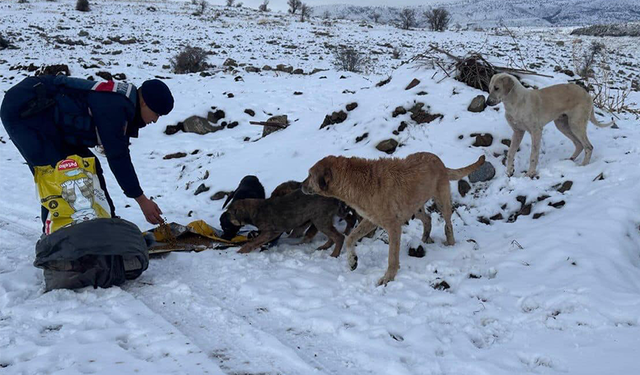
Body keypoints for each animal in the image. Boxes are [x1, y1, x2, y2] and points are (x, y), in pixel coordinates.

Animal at [302, 152, 482, 284]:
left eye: (309, 175)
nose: (301, 186)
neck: (356, 182)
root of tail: (439, 161)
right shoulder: (371, 220)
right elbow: (350, 238)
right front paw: (352, 261)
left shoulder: (393, 226)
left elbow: (392, 257)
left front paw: (388, 278)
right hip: (415, 207)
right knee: (428, 219)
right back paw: (425, 237)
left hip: (441, 201)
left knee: (448, 224)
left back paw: (450, 244)